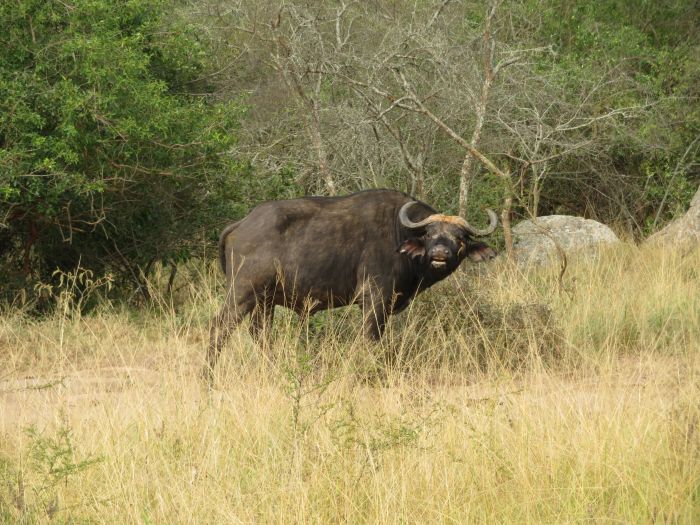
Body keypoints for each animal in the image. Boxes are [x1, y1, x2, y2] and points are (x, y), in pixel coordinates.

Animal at [206, 190, 498, 374]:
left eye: (460, 238)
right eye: (429, 234)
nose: (440, 254)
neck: (398, 236)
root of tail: (242, 224)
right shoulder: (374, 300)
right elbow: (371, 340)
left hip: (264, 301)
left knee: (261, 335)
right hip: (242, 292)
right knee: (219, 328)